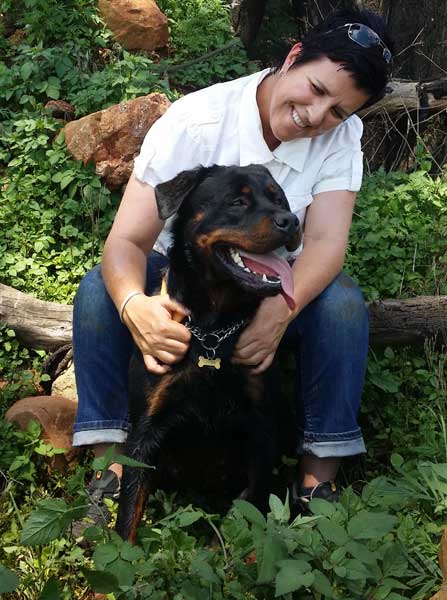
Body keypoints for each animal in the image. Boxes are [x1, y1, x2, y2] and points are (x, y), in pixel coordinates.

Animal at [115, 164, 301, 542]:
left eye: (279, 199)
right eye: (237, 201)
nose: (291, 221)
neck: (214, 328)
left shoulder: (261, 428)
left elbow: (255, 509)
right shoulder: (144, 430)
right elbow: (128, 515)